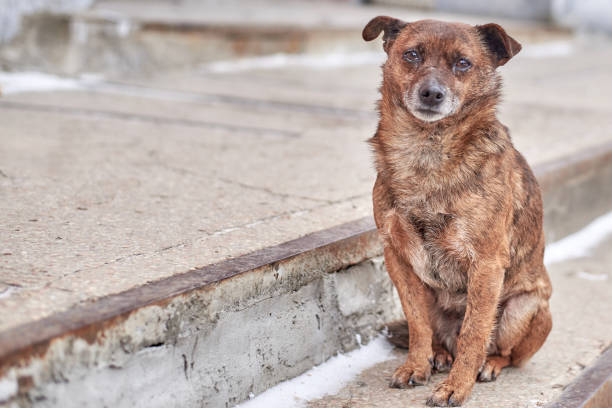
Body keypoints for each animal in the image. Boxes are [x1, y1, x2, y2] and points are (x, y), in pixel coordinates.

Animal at [364, 15, 556, 404]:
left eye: (463, 63)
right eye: (411, 54)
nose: (432, 93)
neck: (427, 151)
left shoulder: (486, 264)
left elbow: (474, 332)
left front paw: (457, 386)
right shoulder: (398, 259)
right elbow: (418, 323)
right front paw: (417, 365)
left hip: (523, 309)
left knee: (504, 352)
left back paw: (489, 364)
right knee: (437, 334)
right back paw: (439, 355)